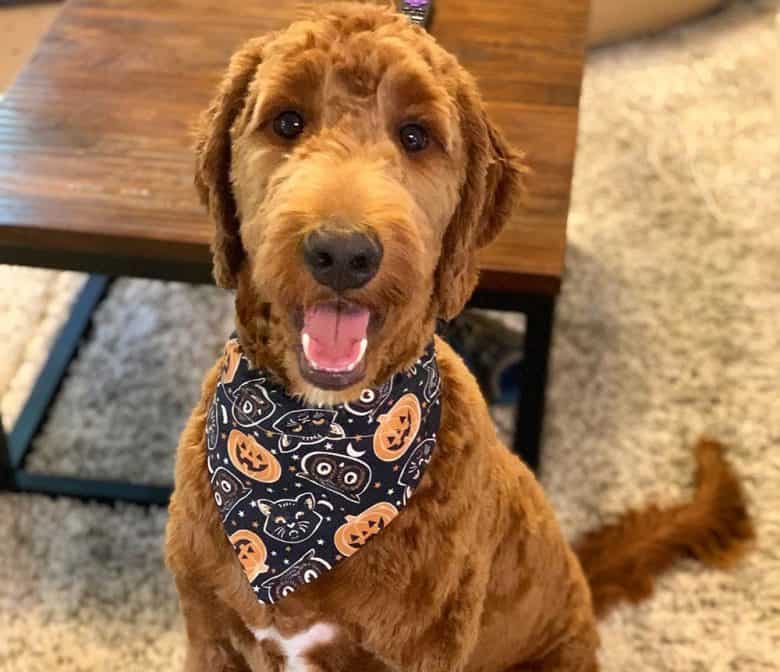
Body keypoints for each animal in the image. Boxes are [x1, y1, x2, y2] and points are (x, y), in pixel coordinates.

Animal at [166, 2, 756, 668]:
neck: (318, 431)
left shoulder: (426, 650)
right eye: (287, 122)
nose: (342, 253)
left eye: (415, 136)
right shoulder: (210, 633)